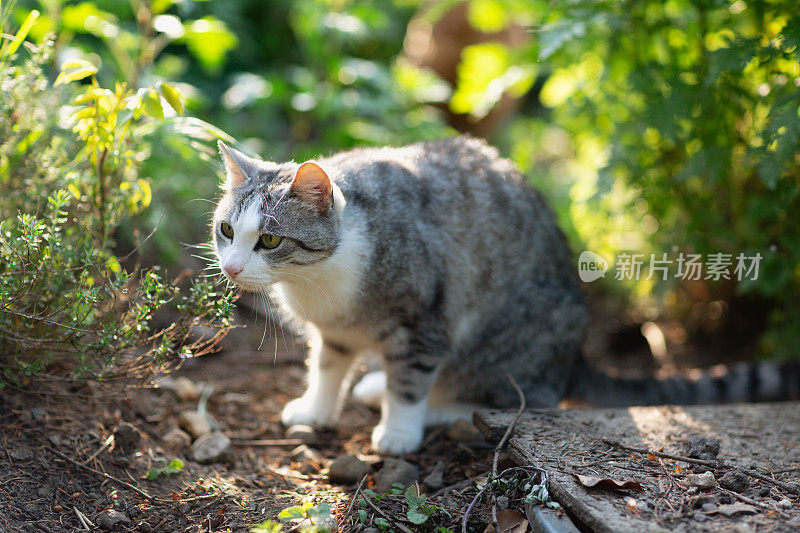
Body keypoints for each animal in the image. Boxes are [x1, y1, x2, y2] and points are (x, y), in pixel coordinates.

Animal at [212, 136, 800, 454]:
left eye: (270, 240)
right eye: (227, 230)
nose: (233, 267)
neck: (316, 282)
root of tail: (574, 357)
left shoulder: (427, 319)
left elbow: (412, 380)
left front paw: (400, 430)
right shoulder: (334, 330)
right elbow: (328, 366)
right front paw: (316, 407)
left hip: (510, 339)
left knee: (523, 398)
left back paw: (437, 407)